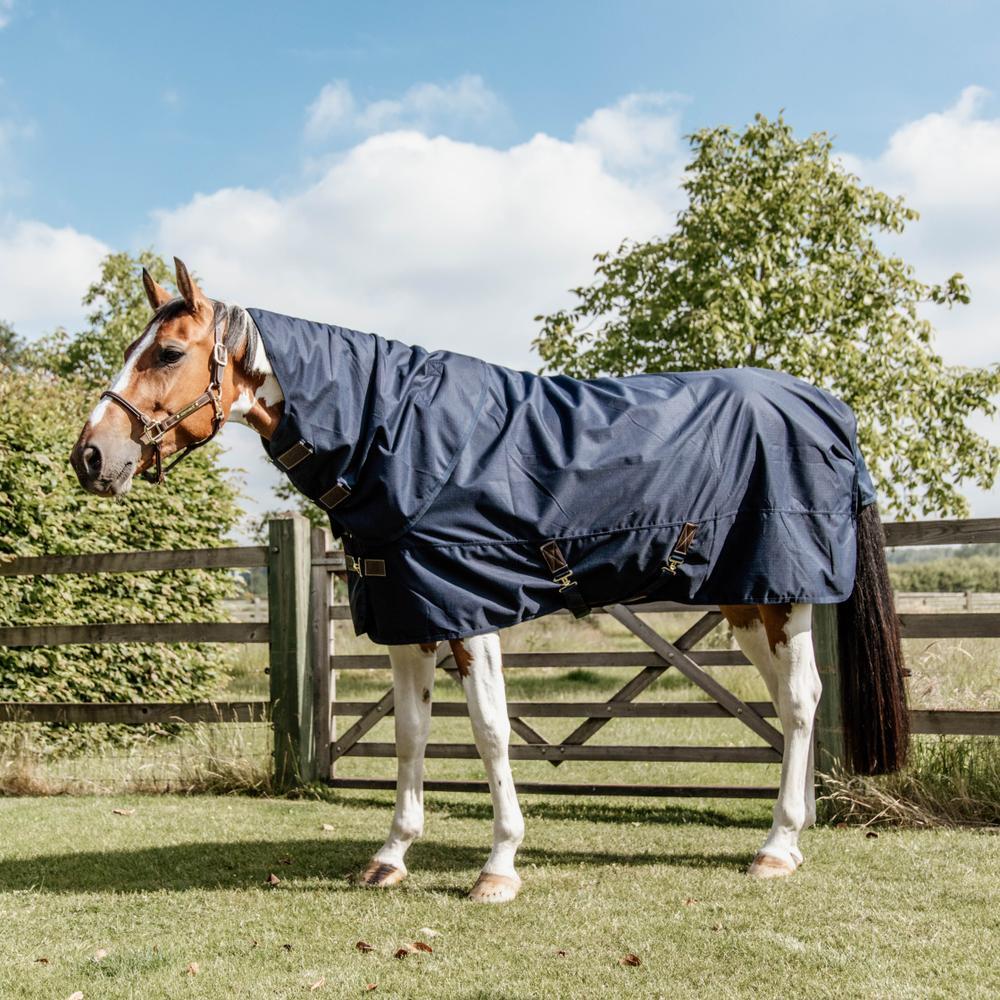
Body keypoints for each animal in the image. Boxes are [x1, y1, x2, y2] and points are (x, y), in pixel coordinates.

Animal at [71, 257, 908, 902]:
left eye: (167, 354)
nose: (90, 457)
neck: (397, 438)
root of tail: (826, 407)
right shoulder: (407, 615)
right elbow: (411, 735)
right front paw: (391, 856)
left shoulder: (470, 611)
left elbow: (491, 732)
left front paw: (499, 864)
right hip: (744, 599)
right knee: (787, 702)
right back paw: (791, 833)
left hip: (786, 594)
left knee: (799, 701)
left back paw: (776, 847)